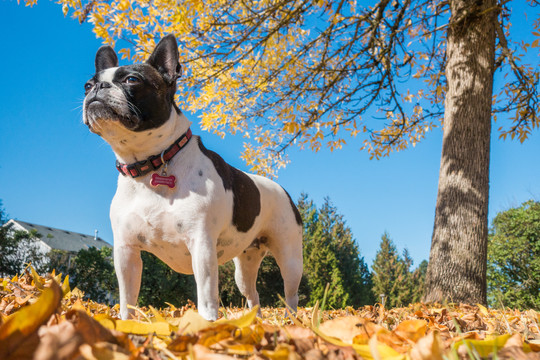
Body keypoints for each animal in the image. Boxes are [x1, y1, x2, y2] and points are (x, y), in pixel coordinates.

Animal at [83, 34, 304, 320]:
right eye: (87, 85)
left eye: (132, 80)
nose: (96, 87)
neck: (150, 164)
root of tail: (281, 189)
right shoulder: (126, 252)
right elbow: (127, 301)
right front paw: (125, 325)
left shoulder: (202, 246)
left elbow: (207, 298)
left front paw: (208, 325)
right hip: (244, 265)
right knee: (252, 294)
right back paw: (250, 322)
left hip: (290, 258)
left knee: (291, 294)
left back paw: (292, 320)